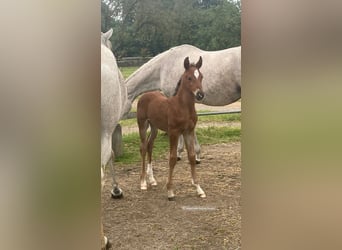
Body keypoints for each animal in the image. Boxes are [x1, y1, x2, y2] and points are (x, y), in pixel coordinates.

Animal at [137, 57, 206, 201]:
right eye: (189, 77)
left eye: (201, 76)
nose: (200, 95)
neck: (182, 107)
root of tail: (145, 95)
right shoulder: (174, 132)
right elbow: (173, 158)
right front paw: (170, 191)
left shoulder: (188, 131)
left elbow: (192, 156)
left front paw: (198, 189)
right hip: (142, 124)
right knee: (143, 148)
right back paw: (143, 182)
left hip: (154, 127)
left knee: (150, 145)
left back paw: (152, 180)